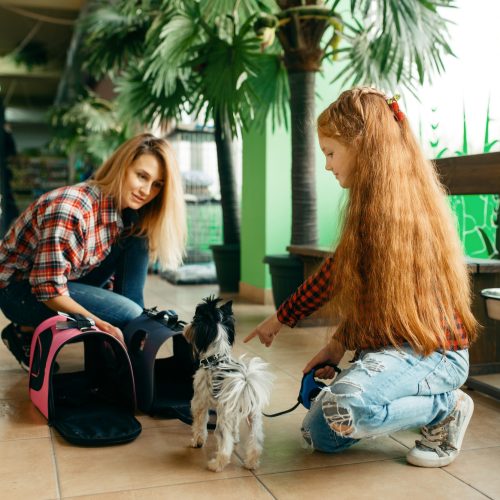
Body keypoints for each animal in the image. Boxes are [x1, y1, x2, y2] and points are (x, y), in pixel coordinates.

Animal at [185, 296, 274, 472]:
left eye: (195, 319)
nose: (187, 326)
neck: (215, 356)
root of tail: (244, 383)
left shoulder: (199, 403)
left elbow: (199, 425)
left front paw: (197, 442)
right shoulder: (236, 417)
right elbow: (235, 431)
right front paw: (236, 438)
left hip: (223, 419)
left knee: (225, 446)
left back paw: (216, 465)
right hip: (253, 418)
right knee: (255, 443)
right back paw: (251, 463)